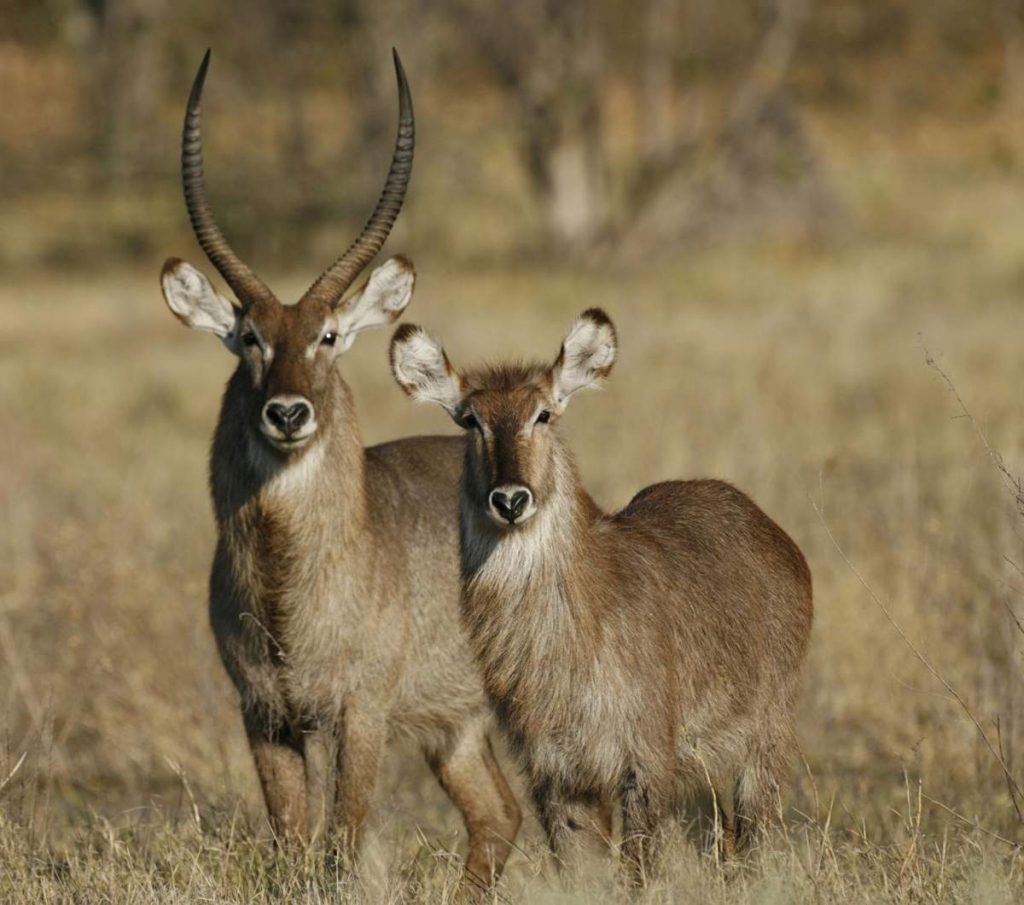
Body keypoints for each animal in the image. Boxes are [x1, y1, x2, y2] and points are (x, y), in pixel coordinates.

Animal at [158, 51, 520, 884]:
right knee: (498, 816)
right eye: (250, 336)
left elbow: (340, 846)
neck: (288, 582)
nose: (288, 413)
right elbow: (293, 848)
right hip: (453, 727)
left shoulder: (362, 713)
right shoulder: (265, 715)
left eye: (327, 335)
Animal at [391, 311, 815, 884]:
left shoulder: (645, 764)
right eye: (469, 420)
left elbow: (640, 874)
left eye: (543, 413)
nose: (510, 499)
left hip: (765, 739)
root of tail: (767, 527)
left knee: (755, 838)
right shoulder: (556, 778)